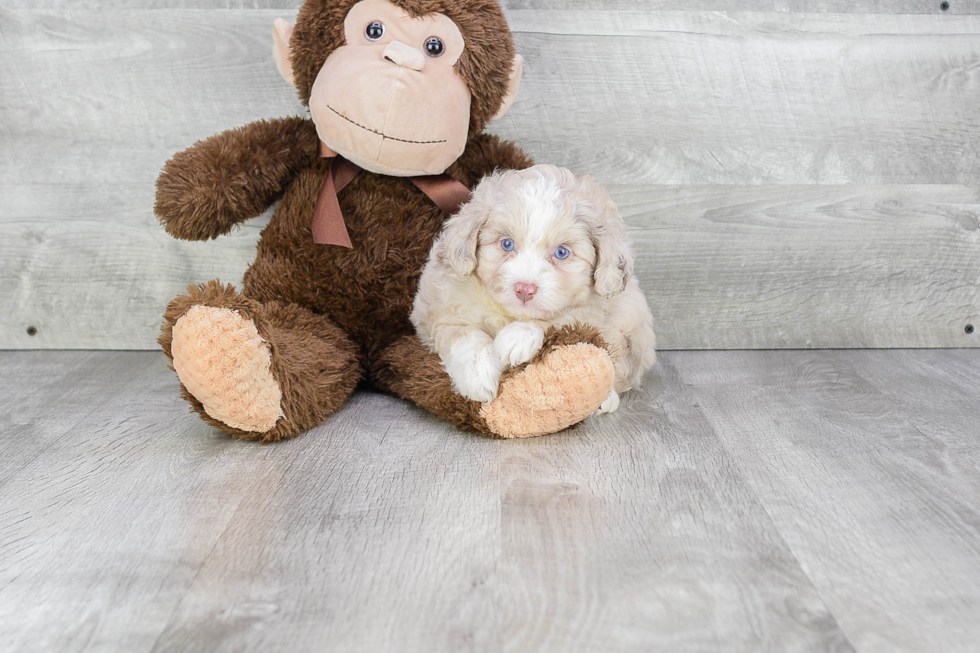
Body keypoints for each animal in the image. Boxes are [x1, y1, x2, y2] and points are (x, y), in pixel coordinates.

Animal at [410, 166, 656, 416]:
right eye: (507, 244)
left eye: (562, 252)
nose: (524, 290)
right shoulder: (443, 310)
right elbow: (465, 336)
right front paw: (479, 376)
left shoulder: (598, 309)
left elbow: (563, 318)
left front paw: (518, 336)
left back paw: (606, 398)